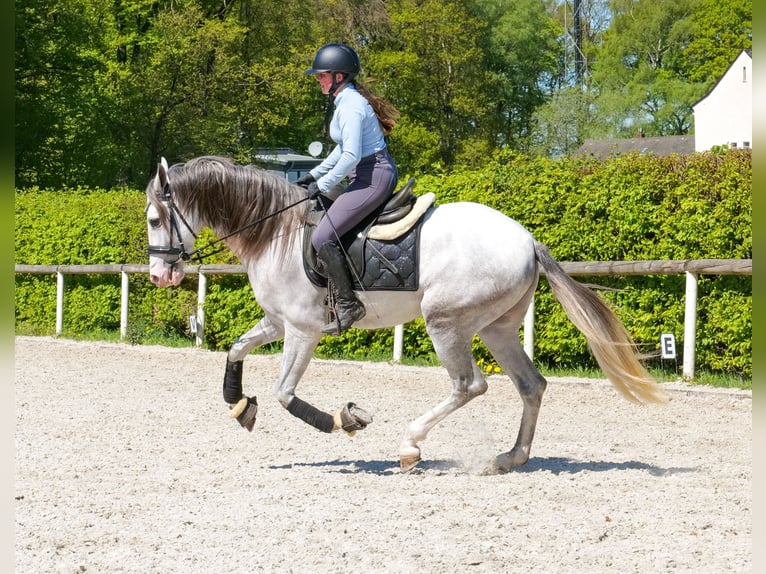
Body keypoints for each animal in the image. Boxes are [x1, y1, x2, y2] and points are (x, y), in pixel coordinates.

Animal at [145, 155, 668, 473]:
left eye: (153, 219)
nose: (158, 276)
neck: (274, 230)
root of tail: (526, 240)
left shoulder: (302, 330)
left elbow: (285, 394)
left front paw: (344, 420)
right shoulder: (277, 322)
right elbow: (236, 350)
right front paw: (239, 405)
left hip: (446, 323)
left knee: (469, 385)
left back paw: (411, 445)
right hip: (496, 329)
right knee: (531, 385)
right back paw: (509, 457)